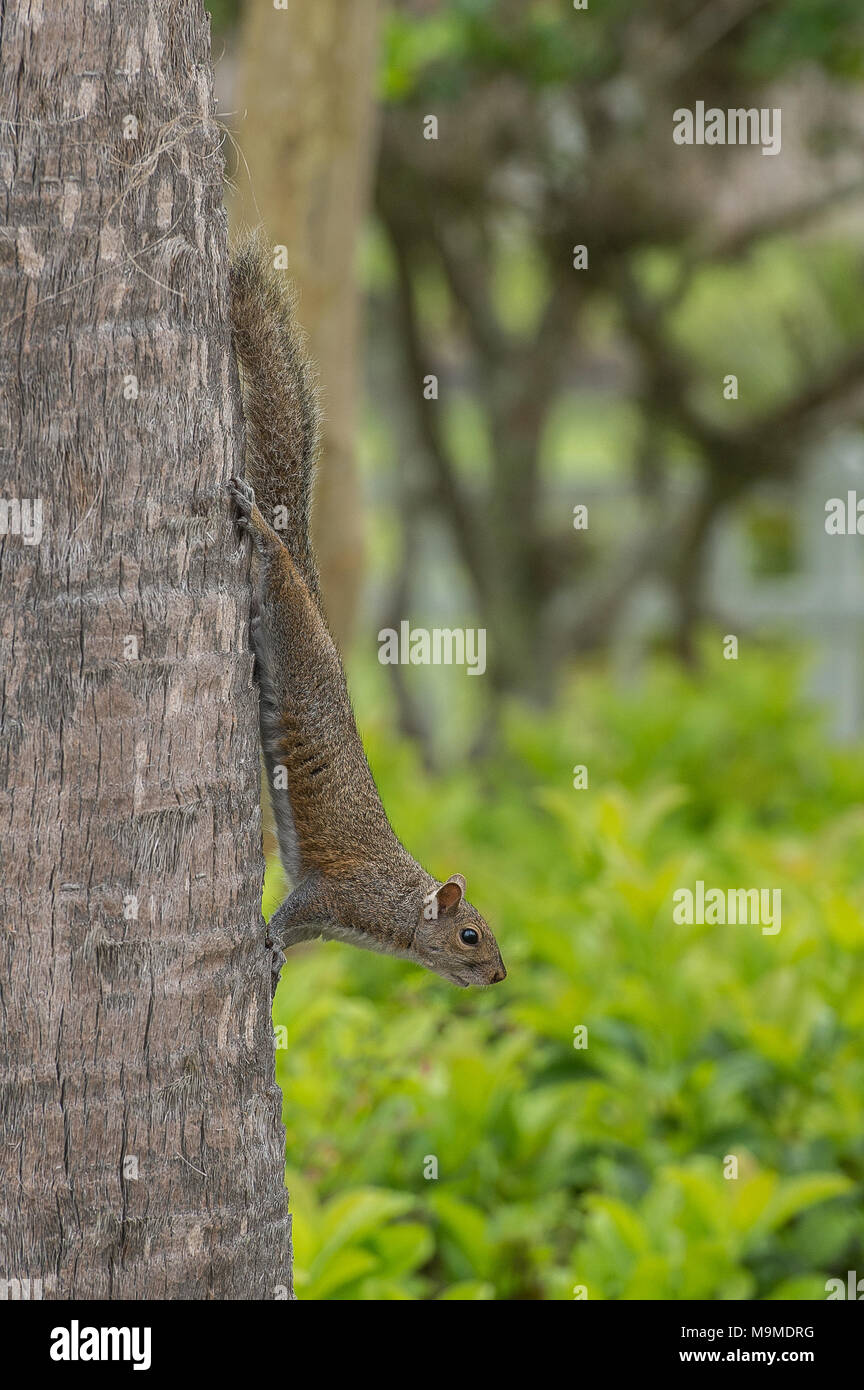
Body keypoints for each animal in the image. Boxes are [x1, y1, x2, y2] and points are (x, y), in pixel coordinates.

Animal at [226, 237, 506, 991]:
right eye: (470, 934)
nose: (499, 977)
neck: (398, 915)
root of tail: (322, 616)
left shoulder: (329, 922)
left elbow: (297, 934)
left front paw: (276, 963)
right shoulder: (335, 894)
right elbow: (291, 911)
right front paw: (266, 944)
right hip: (293, 633)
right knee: (276, 567)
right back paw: (258, 524)